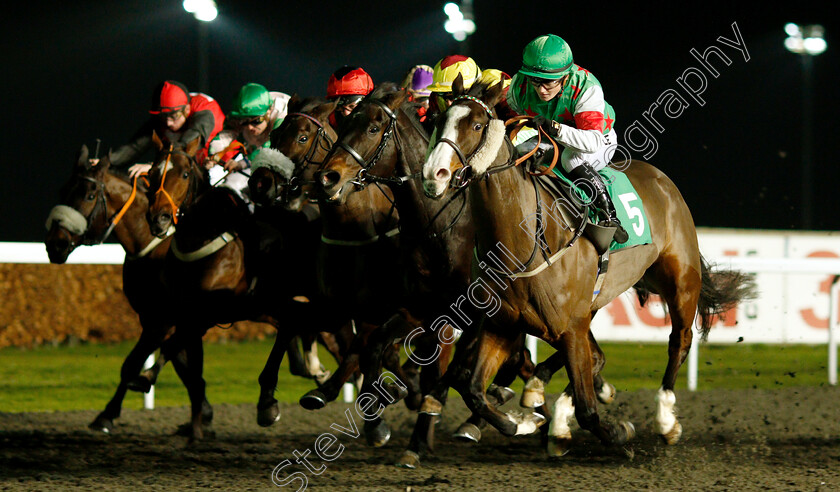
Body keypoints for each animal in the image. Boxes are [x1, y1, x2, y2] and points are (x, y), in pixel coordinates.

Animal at [420, 80, 756, 454]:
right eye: (439, 121)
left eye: (477, 125)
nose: (434, 175)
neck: (524, 240)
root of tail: (662, 180)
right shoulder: (503, 324)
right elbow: (474, 391)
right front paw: (521, 422)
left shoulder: (569, 324)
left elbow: (588, 409)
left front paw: (619, 433)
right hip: (593, 302)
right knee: (590, 358)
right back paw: (548, 406)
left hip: (681, 282)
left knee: (679, 340)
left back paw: (666, 420)